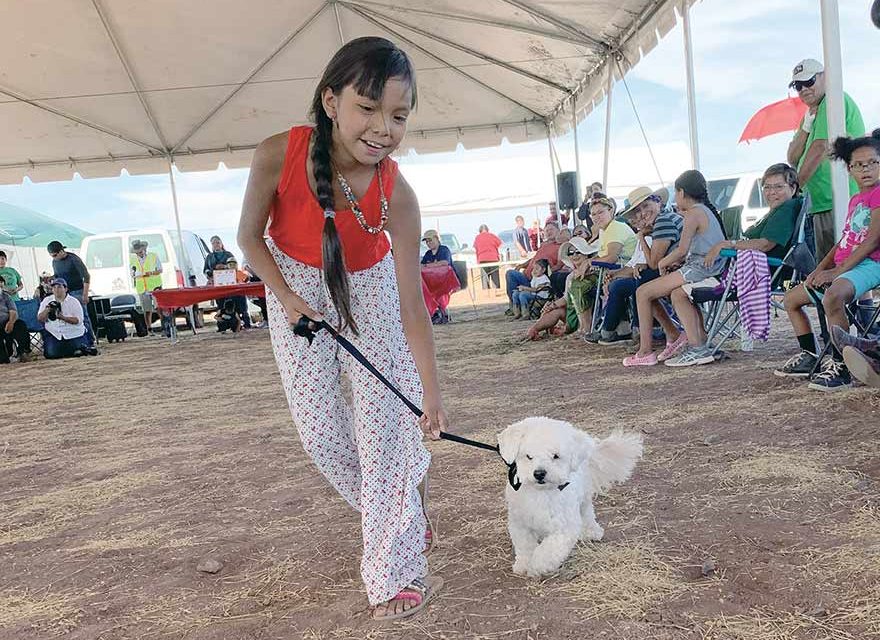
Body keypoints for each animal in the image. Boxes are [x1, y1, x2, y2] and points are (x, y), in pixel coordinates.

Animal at [498, 418, 644, 576]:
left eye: (555, 456)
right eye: (529, 456)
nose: (539, 473)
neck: (541, 493)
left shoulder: (564, 528)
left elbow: (548, 551)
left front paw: (536, 566)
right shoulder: (520, 524)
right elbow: (525, 546)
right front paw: (524, 565)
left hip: (584, 498)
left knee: (587, 513)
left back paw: (592, 532)